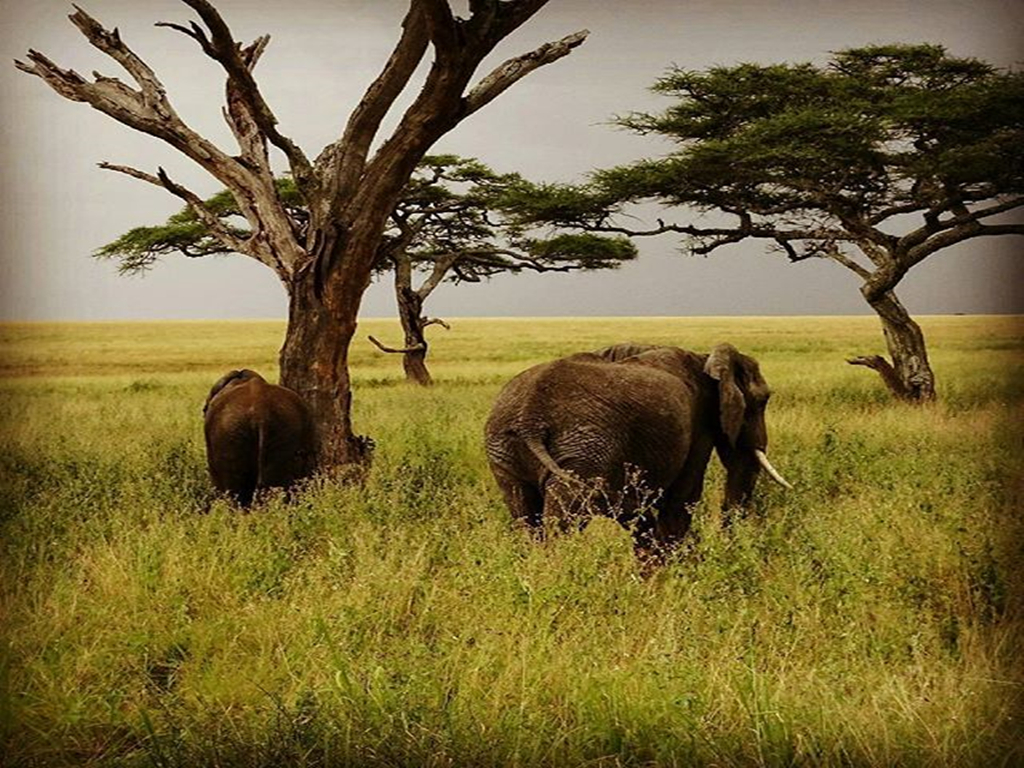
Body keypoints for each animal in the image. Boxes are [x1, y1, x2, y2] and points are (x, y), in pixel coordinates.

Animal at [485, 346, 790, 561]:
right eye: (762, 401)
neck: (705, 359)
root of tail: (530, 417)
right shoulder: (699, 424)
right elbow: (683, 497)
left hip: (506, 450)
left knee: (523, 512)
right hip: (584, 450)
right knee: (563, 520)